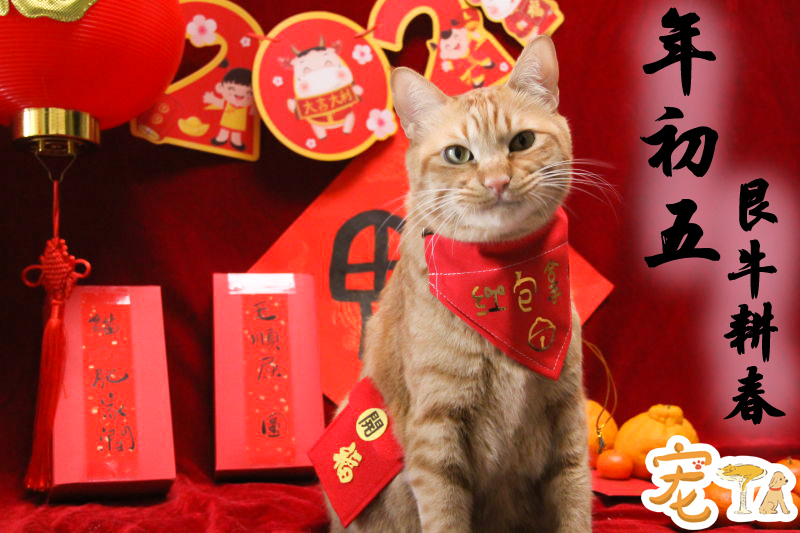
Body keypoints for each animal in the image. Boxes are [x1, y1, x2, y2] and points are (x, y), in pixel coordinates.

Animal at [327, 35, 591, 533]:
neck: (502, 277)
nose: (497, 180)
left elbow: (575, 498)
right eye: (458, 154)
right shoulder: (436, 431)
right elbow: (446, 514)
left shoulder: (567, 412)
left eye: (522, 142)